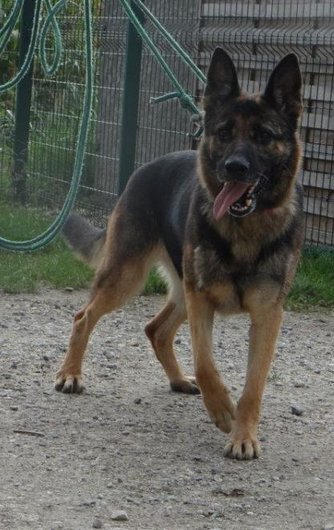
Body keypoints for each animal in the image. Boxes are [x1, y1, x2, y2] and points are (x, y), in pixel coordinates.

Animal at [56, 48, 304, 458]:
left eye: (264, 136)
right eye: (224, 132)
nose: (234, 168)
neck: (243, 231)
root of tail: (143, 169)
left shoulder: (268, 316)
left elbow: (254, 385)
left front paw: (243, 434)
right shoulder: (201, 299)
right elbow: (205, 364)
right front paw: (222, 410)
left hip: (179, 289)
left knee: (155, 329)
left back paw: (176, 380)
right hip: (129, 277)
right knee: (84, 315)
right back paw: (70, 374)